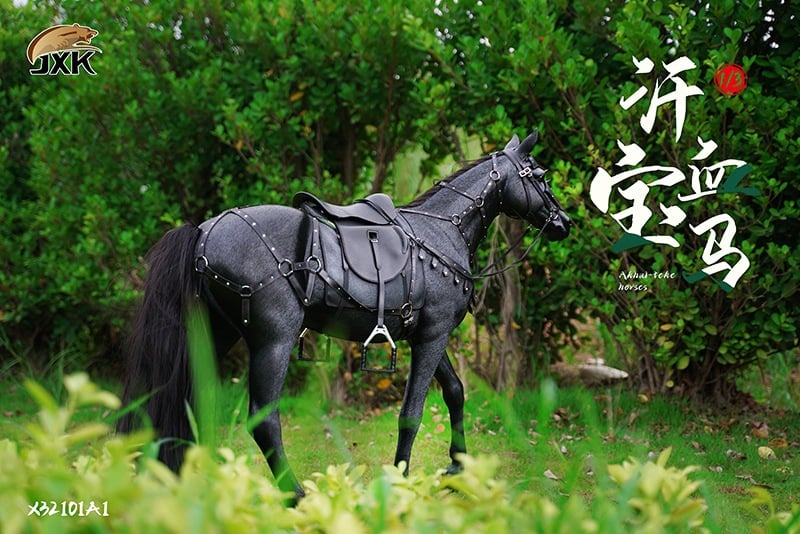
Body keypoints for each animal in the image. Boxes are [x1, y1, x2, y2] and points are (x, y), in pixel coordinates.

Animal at [118, 131, 571, 501]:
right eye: (541, 176)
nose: (563, 223)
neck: (442, 231)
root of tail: (203, 231)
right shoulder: (433, 334)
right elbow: (412, 413)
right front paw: (401, 482)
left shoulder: (425, 334)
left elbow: (456, 392)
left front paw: (458, 468)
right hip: (273, 342)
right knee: (264, 421)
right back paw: (295, 495)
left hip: (216, 335)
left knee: (184, 399)